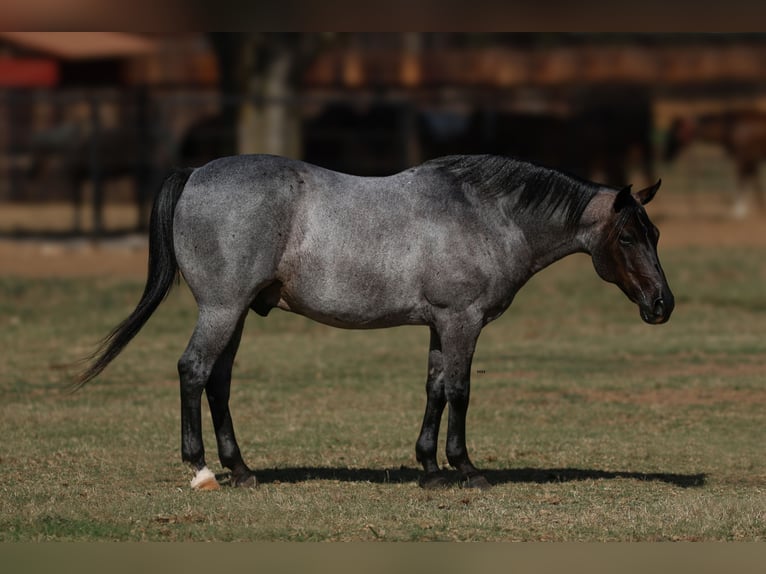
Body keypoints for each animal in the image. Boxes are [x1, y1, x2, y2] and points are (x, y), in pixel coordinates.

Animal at [75, 153, 676, 490]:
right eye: (628, 236)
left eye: (656, 234)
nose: (663, 305)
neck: (486, 214)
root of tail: (196, 172)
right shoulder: (463, 321)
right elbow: (460, 391)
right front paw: (466, 469)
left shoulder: (440, 324)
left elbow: (434, 389)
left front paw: (429, 469)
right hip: (222, 309)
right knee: (194, 370)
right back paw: (200, 470)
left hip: (236, 313)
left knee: (218, 382)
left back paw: (241, 470)